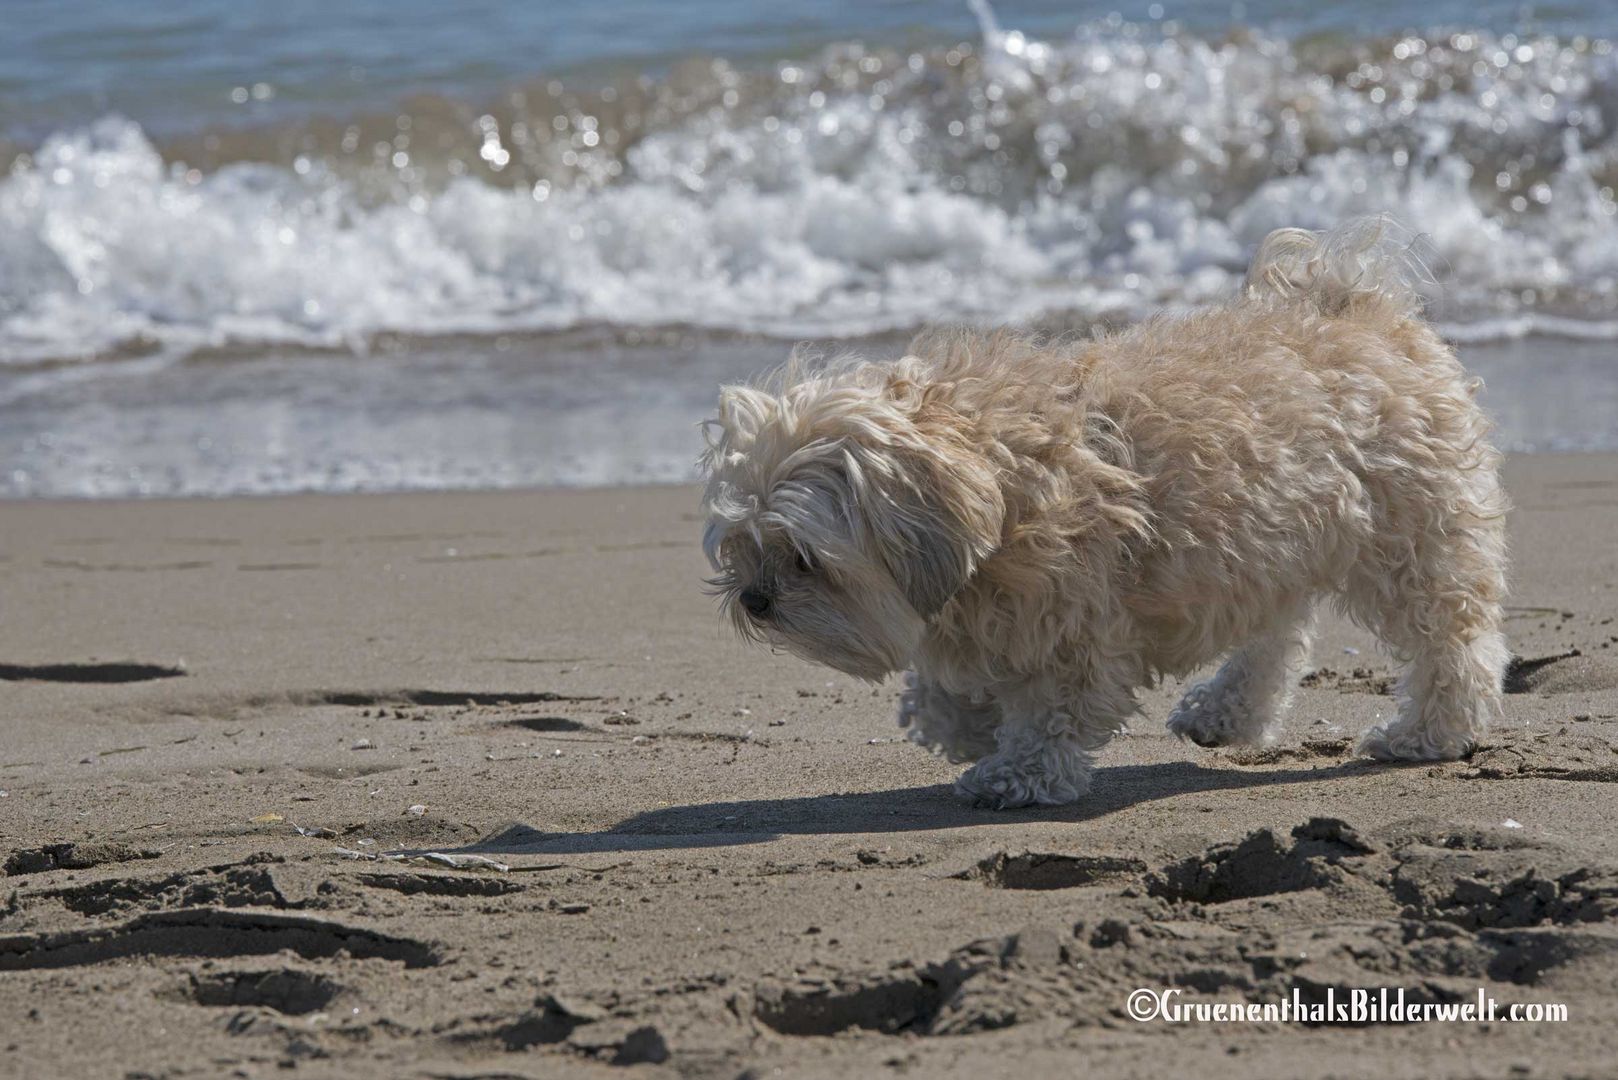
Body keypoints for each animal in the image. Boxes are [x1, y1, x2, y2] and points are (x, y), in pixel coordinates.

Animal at [702, 220, 1507, 806]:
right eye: (740, 547)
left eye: (804, 558)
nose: (755, 600)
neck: (998, 471)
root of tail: (1361, 305)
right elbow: (944, 691)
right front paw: (968, 722)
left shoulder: (1079, 625)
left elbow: (1055, 706)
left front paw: (1016, 772)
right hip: (1273, 544)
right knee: (1278, 634)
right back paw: (1226, 712)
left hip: (1410, 541)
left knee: (1451, 641)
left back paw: (1430, 732)